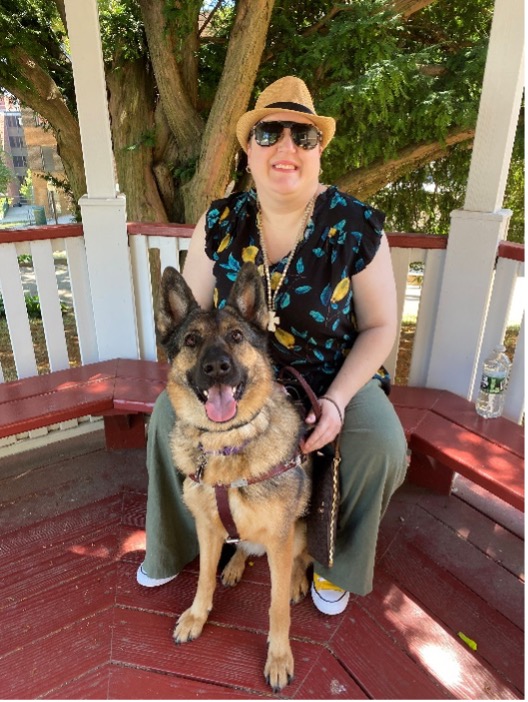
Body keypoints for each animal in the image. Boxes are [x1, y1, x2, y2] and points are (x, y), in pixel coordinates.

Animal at [157, 262, 314, 692]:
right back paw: (234, 565)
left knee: (302, 557)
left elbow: (276, 607)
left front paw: (278, 657)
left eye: (237, 336)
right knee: (242, 546)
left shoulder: (280, 538)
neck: (228, 445)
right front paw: (197, 616)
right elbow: (203, 579)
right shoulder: (208, 529)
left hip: (300, 530)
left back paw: (296, 580)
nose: (216, 368)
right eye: (192, 340)